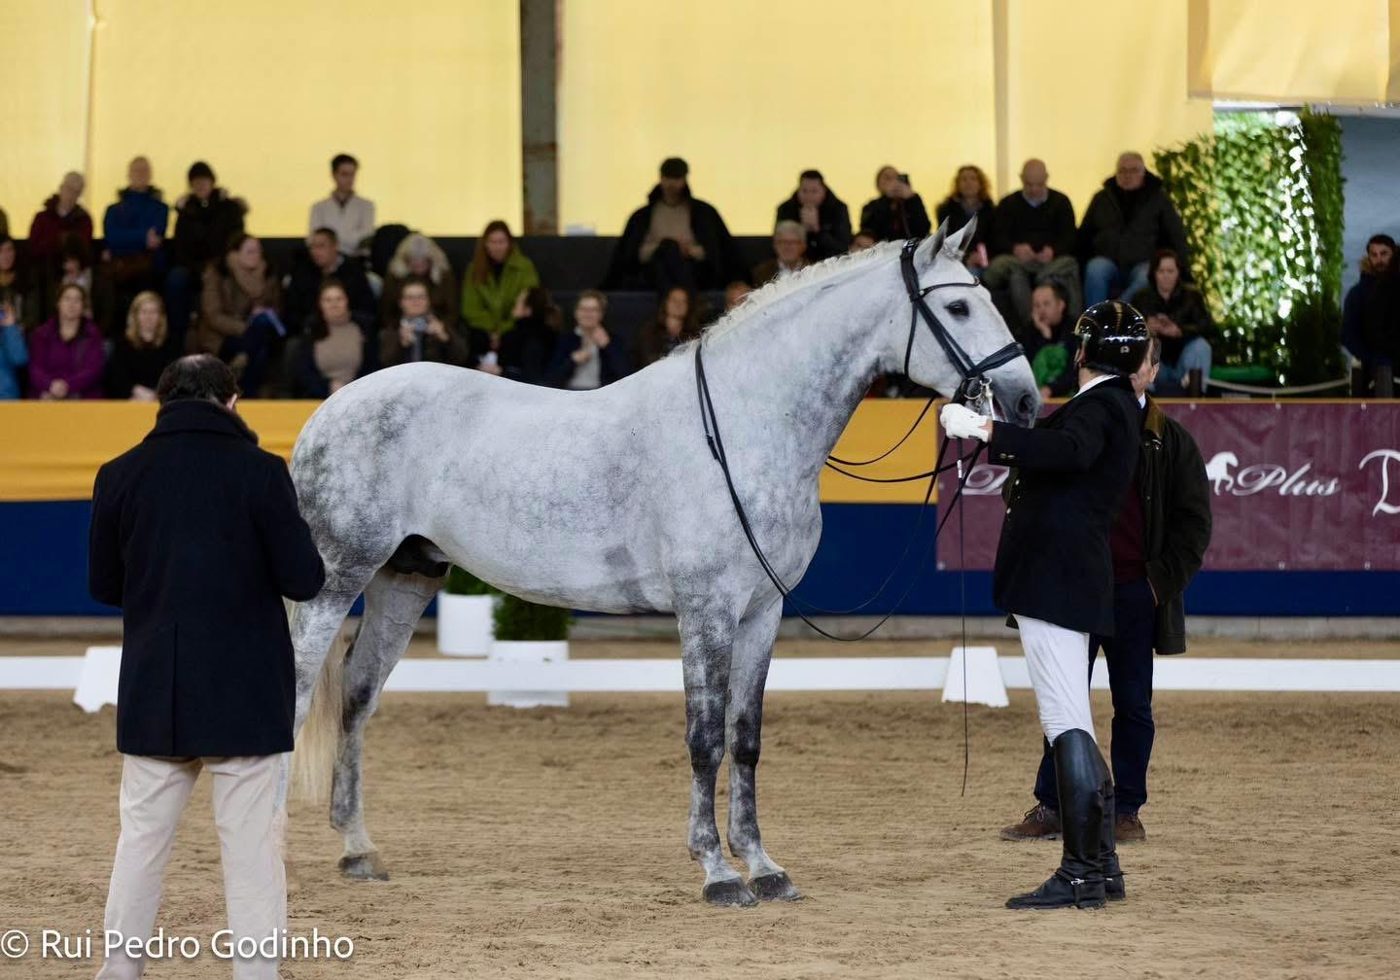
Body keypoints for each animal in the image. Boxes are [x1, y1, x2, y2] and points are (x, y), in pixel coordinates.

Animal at [283, 219, 1039, 907]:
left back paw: (358, 850)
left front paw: (764, 867)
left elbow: (745, 738)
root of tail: (330, 409)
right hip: (337, 581)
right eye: (959, 307)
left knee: (356, 696)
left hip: (404, 578)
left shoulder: (761, 612)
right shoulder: (705, 609)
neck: (740, 426)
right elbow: (704, 738)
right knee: (297, 692)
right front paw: (717, 873)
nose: (1026, 400)